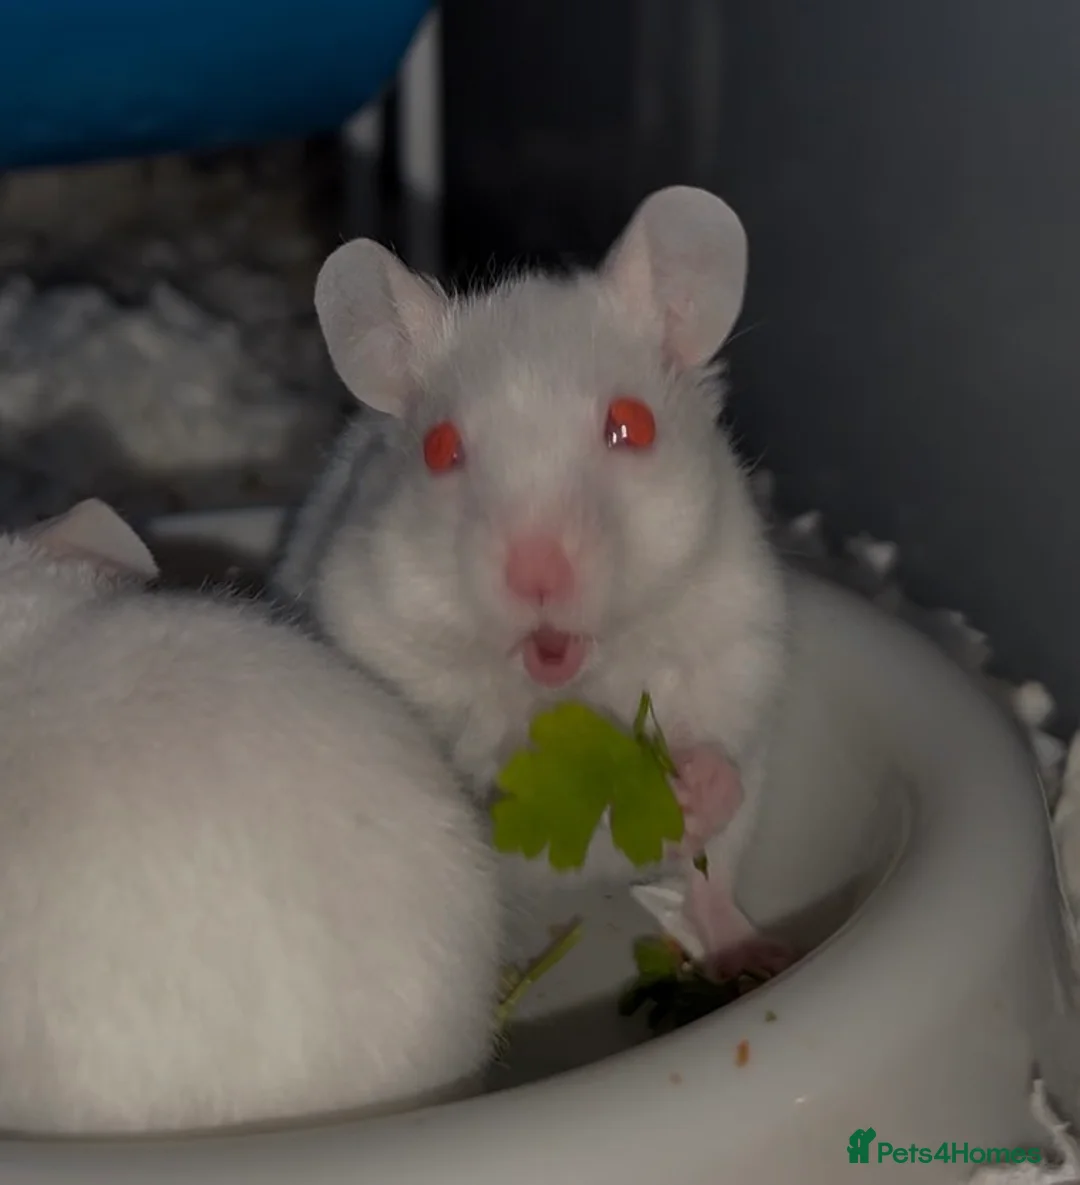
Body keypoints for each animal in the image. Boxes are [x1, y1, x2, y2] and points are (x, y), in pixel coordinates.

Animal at [272, 186, 792, 979]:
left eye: (632, 426)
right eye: (440, 449)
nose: (536, 573)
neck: (566, 683)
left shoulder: (738, 642)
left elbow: (725, 754)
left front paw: (688, 789)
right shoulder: (376, 626)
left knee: (714, 880)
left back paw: (748, 951)